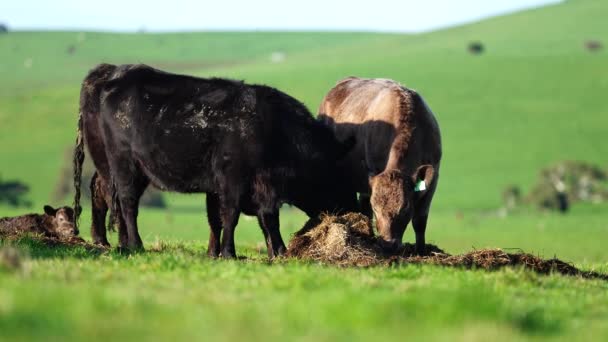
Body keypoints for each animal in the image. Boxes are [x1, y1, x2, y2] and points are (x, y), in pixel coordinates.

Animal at [72, 64, 358, 258]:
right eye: (342, 178)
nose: (354, 212)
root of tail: (111, 72)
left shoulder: (226, 186)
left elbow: (220, 219)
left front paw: (216, 253)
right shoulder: (237, 180)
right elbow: (239, 216)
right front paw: (237, 253)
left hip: (113, 167)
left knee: (103, 195)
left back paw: (111, 242)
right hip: (125, 165)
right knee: (127, 202)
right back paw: (134, 244)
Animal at [318, 77, 442, 254]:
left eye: (405, 207)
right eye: (376, 207)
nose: (388, 244)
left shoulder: (433, 178)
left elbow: (419, 221)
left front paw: (420, 251)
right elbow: (368, 210)